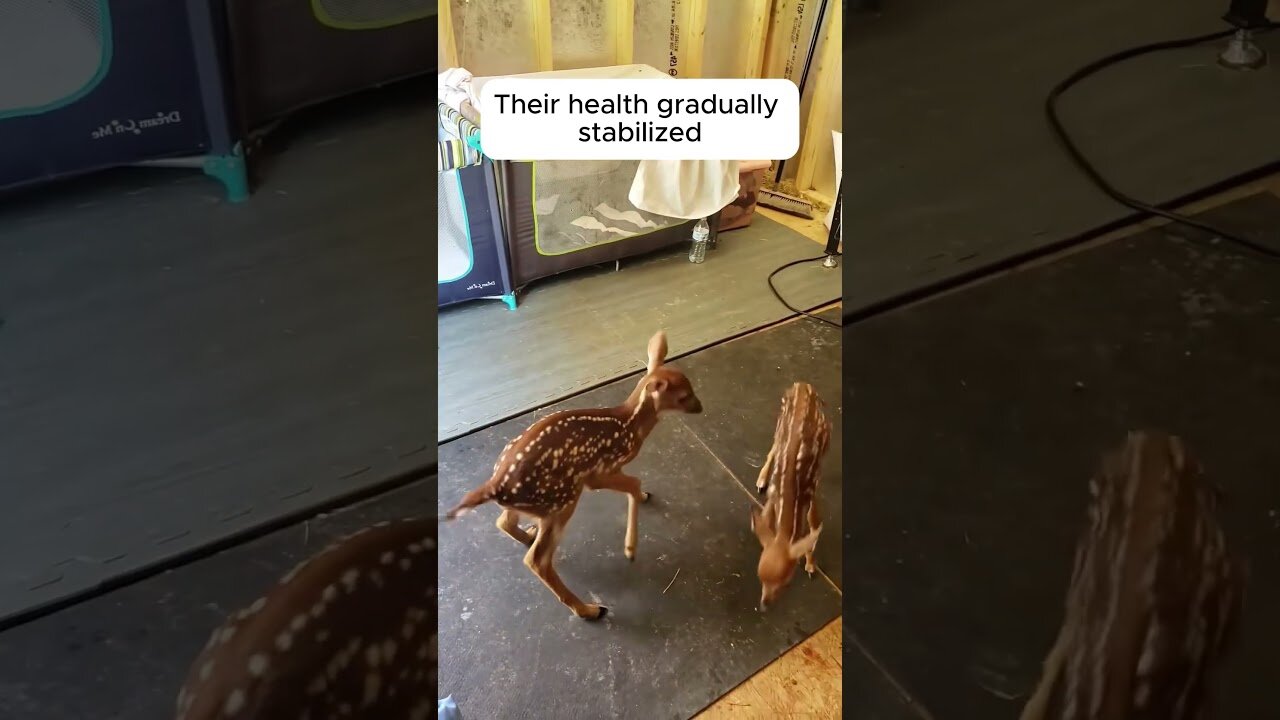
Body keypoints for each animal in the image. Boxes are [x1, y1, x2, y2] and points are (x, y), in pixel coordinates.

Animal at [443, 329, 701, 620]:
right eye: (683, 396)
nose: (700, 407)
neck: (630, 425)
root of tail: (494, 486)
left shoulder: (611, 469)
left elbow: (634, 485)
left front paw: (644, 500)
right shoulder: (598, 472)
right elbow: (634, 483)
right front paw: (630, 548)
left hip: (536, 504)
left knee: (504, 522)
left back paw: (529, 535)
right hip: (562, 499)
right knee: (537, 560)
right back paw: (589, 609)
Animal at [750, 381, 831, 611]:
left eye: (786, 582)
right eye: (759, 577)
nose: (764, 604)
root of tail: (802, 384)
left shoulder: (811, 494)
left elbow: (813, 525)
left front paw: (811, 565)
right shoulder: (774, 494)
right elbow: (766, 516)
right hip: (780, 425)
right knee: (774, 447)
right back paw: (761, 479)